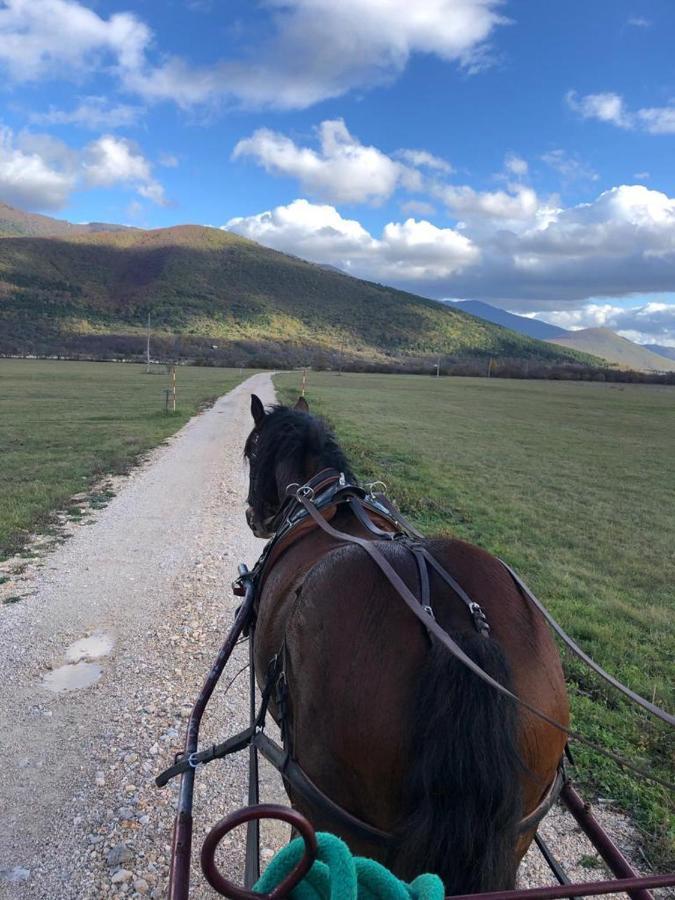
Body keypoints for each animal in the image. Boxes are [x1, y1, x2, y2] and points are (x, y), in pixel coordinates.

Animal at [244, 394, 572, 892]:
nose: (253, 516)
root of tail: (453, 625)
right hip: (518, 831)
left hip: (338, 814)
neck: (323, 501)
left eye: (250, 450)